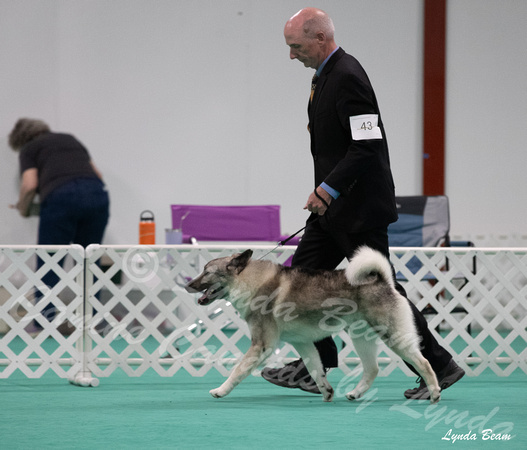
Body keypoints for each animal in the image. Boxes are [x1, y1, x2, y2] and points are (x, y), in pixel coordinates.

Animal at [186, 246, 442, 404]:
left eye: (207, 272)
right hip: (361, 339)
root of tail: (382, 281)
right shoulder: (304, 344)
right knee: (373, 369)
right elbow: (316, 370)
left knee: (424, 363)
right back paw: (355, 393)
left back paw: (434, 393)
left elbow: (237, 371)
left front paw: (220, 390)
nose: (188, 285)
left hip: (394, 337)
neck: (250, 281)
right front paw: (326, 392)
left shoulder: (261, 345)